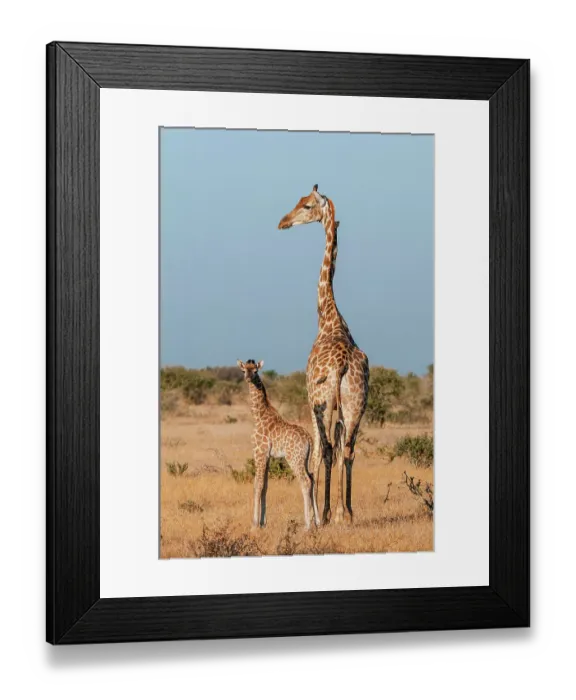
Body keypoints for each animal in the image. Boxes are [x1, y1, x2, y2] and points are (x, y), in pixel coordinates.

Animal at [237, 359, 320, 530]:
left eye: (255, 371)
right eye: (244, 370)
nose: (248, 378)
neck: (258, 415)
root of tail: (309, 439)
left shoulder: (259, 452)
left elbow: (257, 484)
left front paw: (254, 525)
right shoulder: (268, 456)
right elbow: (265, 486)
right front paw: (263, 523)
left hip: (294, 458)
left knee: (305, 481)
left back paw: (307, 525)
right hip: (304, 459)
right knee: (313, 477)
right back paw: (317, 521)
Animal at [278, 186, 369, 525]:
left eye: (306, 205)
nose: (283, 222)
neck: (328, 316)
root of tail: (341, 364)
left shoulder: (311, 398)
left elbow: (317, 453)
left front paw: (317, 514)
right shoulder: (344, 408)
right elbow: (339, 450)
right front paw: (340, 510)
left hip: (322, 401)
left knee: (327, 449)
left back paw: (328, 513)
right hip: (356, 402)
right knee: (348, 449)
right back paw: (347, 512)